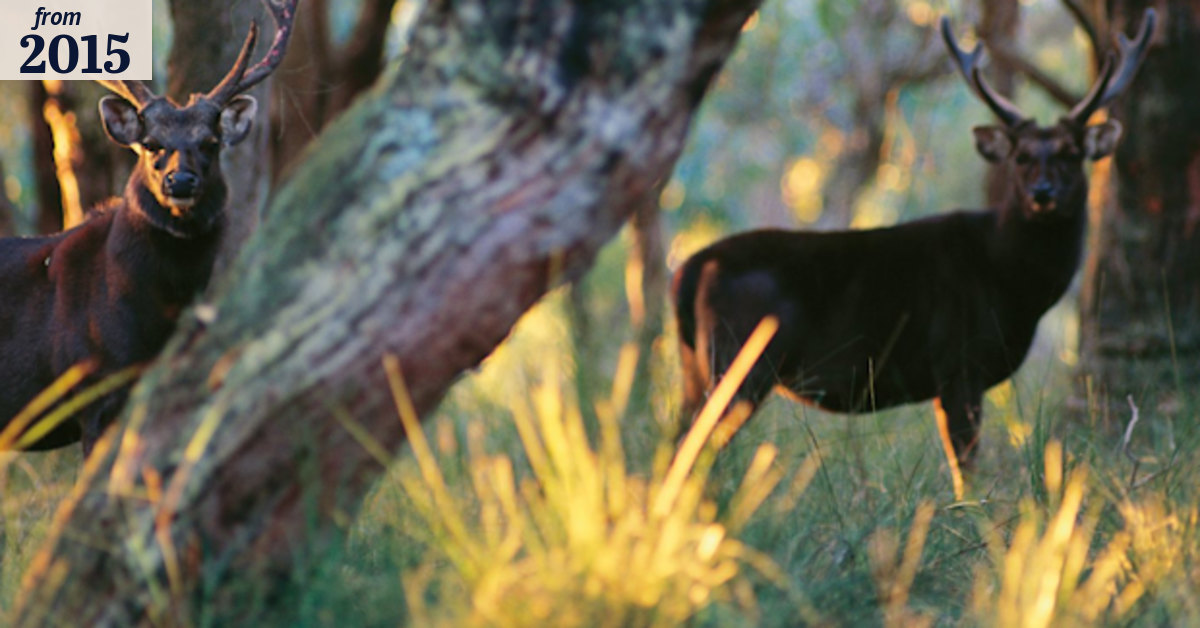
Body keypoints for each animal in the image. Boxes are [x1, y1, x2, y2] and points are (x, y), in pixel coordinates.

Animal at [671, 9, 1155, 495]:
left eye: (1072, 154)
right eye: (1020, 156)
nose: (1042, 194)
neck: (1011, 280)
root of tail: (692, 267)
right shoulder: (958, 359)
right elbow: (966, 465)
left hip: (696, 364)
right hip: (741, 357)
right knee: (696, 443)